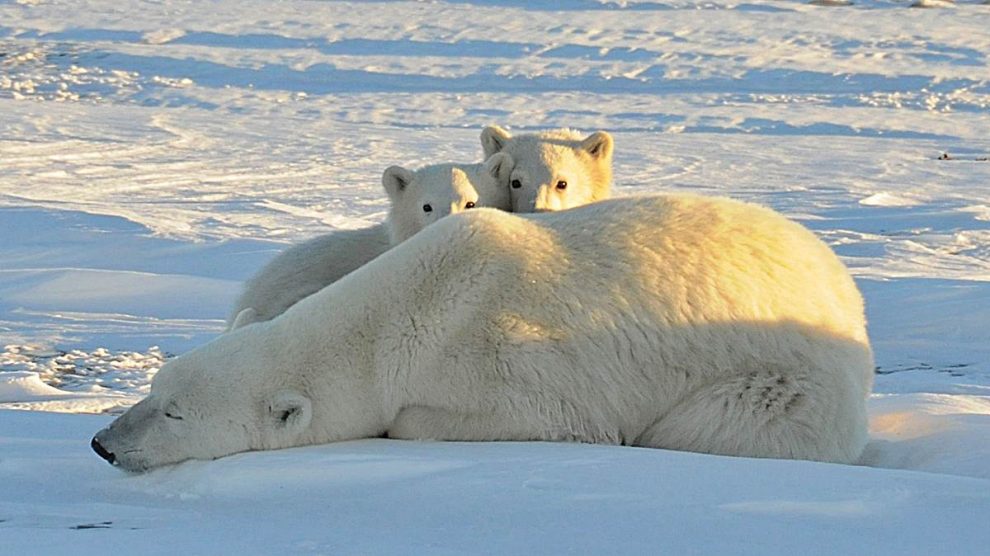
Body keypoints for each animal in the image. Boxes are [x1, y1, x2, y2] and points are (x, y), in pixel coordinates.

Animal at [93, 193, 873, 472]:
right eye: (155, 388)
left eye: (175, 413)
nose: (103, 443)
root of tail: (848, 293)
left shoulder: (509, 359)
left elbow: (546, 419)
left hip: (785, 379)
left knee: (724, 422)